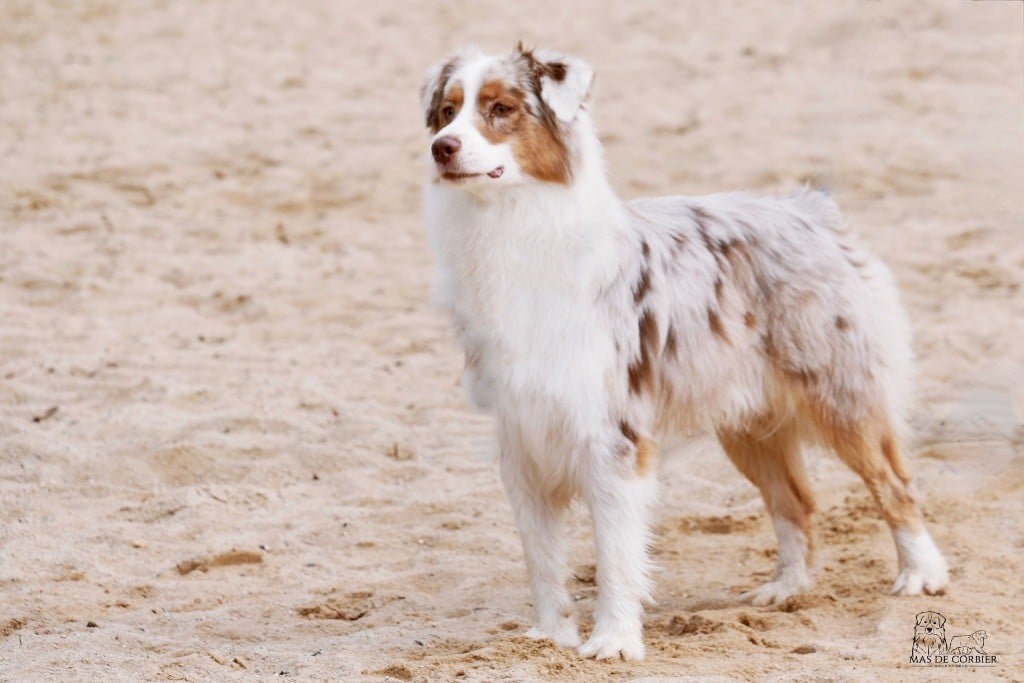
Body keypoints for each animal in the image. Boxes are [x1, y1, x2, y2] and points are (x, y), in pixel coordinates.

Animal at [421, 44, 950, 661]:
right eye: (448, 111)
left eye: (501, 108)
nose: (441, 147)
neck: (512, 226)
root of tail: (807, 207)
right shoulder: (524, 439)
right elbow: (542, 560)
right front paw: (549, 638)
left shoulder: (613, 439)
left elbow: (616, 556)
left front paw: (614, 641)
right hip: (749, 426)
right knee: (796, 501)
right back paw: (788, 589)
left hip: (841, 397)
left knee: (894, 485)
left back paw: (921, 574)